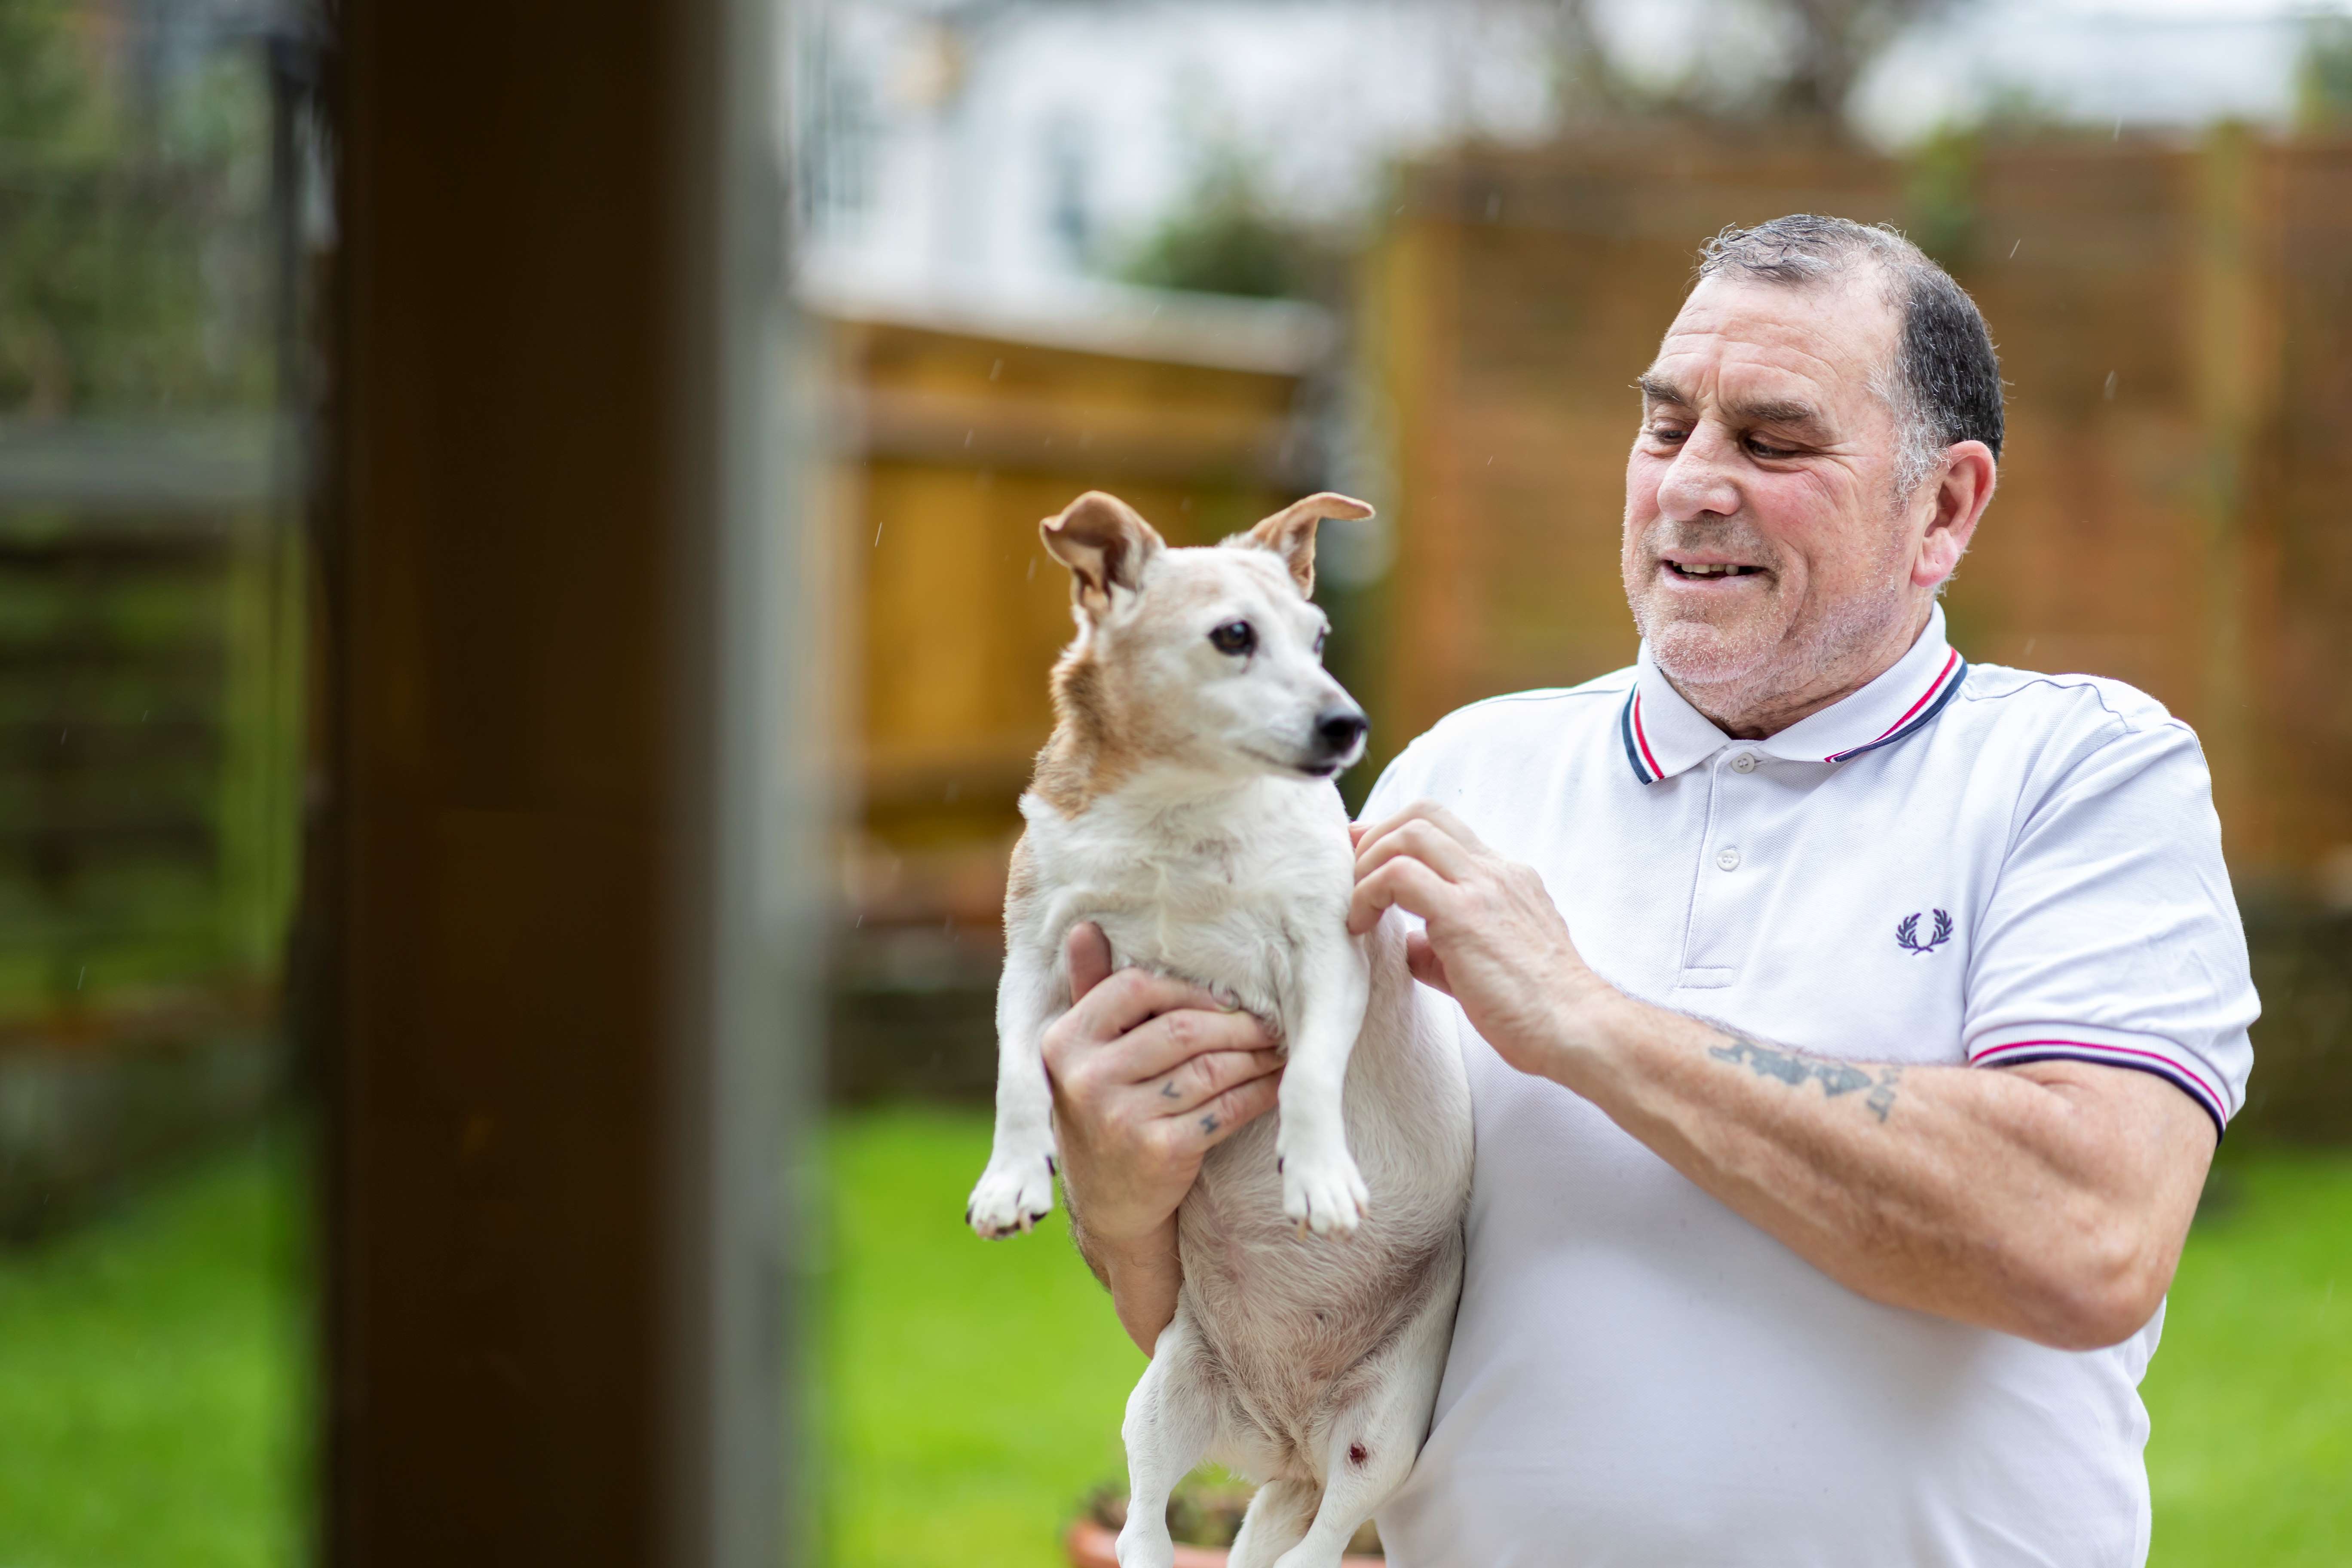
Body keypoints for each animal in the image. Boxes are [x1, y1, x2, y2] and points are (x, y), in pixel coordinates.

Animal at [964, 491, 1458, 1568]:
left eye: (1319, 639)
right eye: (1234, 637)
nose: (1347, 723)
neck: (1178, 815)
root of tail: (1285, 1438)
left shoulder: (1329, 957)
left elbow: (1311, 1075)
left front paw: (1317, 1177)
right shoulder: (1035, 959)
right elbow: (1020, 1075)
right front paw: (1011, 1179)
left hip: (1382, 1437)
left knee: (1322, 1546)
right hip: (1160, 1404)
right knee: (1146, 1529)